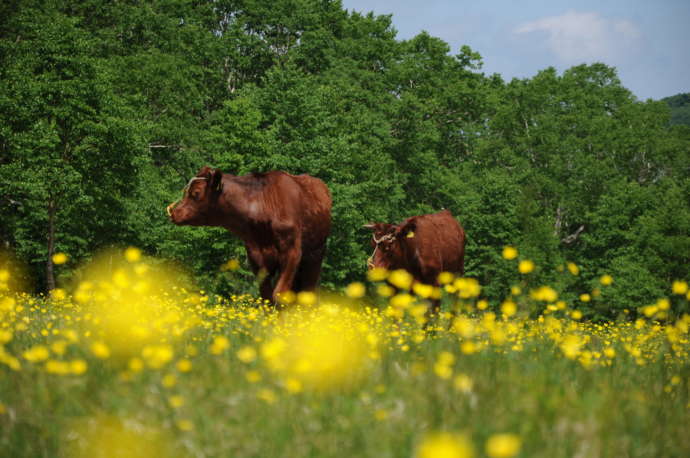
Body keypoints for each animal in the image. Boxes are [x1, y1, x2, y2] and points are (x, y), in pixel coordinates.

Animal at [165, 165, 330, 304]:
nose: (174, 213)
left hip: (315, 256)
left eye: (196, 193)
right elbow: (267, 297)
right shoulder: (255, 256)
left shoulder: (292, 252)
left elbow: (279, 295)